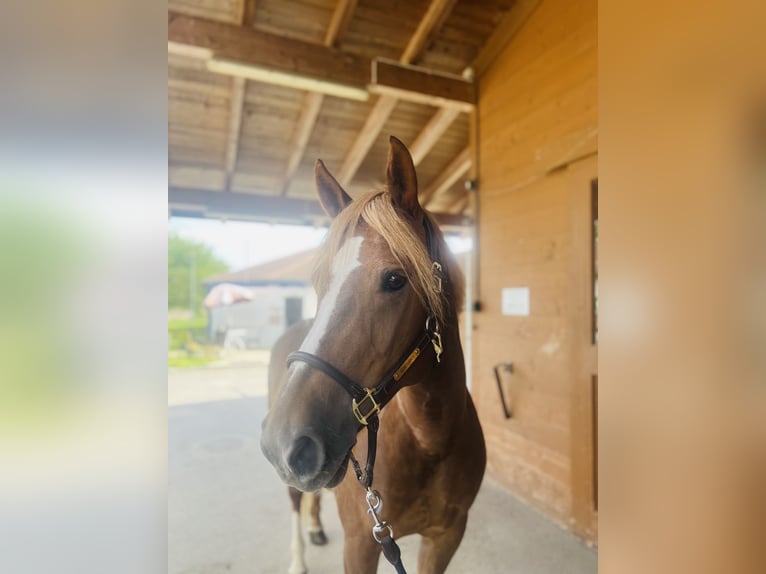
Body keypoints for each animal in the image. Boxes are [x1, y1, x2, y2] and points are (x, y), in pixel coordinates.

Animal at [260, 136, 484, 574]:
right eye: (318, 283)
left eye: (395, 279)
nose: (286, 442)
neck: (431, 441)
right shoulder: (363, 544)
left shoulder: (445, 538)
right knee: (295, 501)